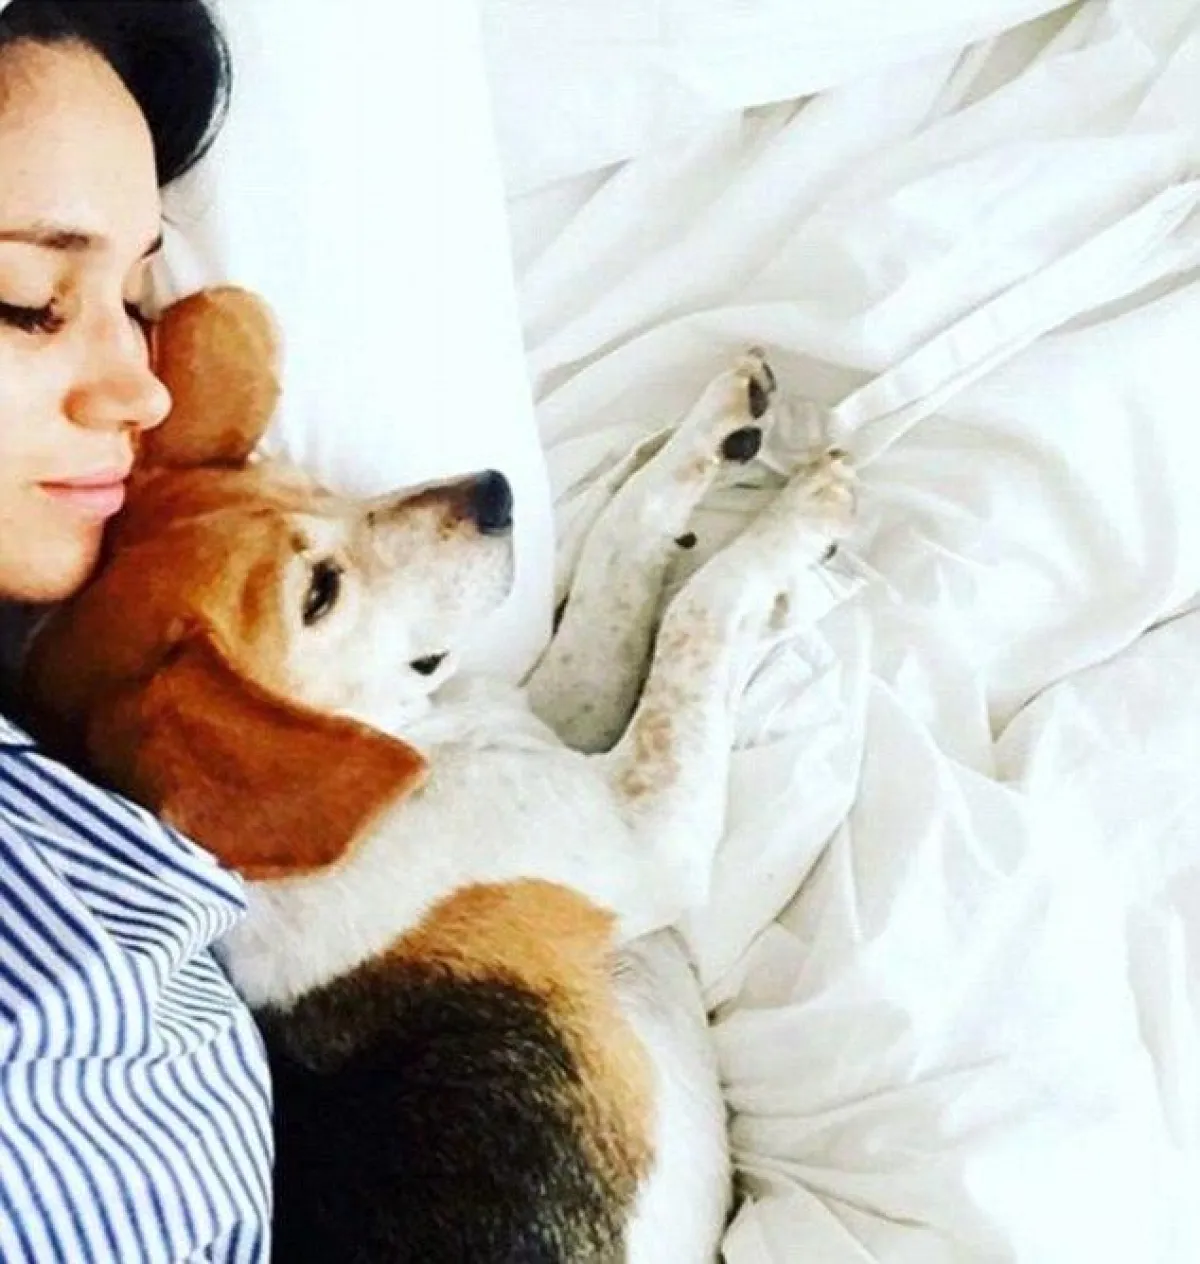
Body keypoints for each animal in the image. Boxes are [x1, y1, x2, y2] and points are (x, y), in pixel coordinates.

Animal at [20, 290, 856, 1262]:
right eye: (318, 594)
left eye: (304, 487)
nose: (495, 492)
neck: (414, 740)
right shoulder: (646, 826)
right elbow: (701, 604)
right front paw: (797, 522)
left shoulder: (560, 722)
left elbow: (621, 557)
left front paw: (718, 429)